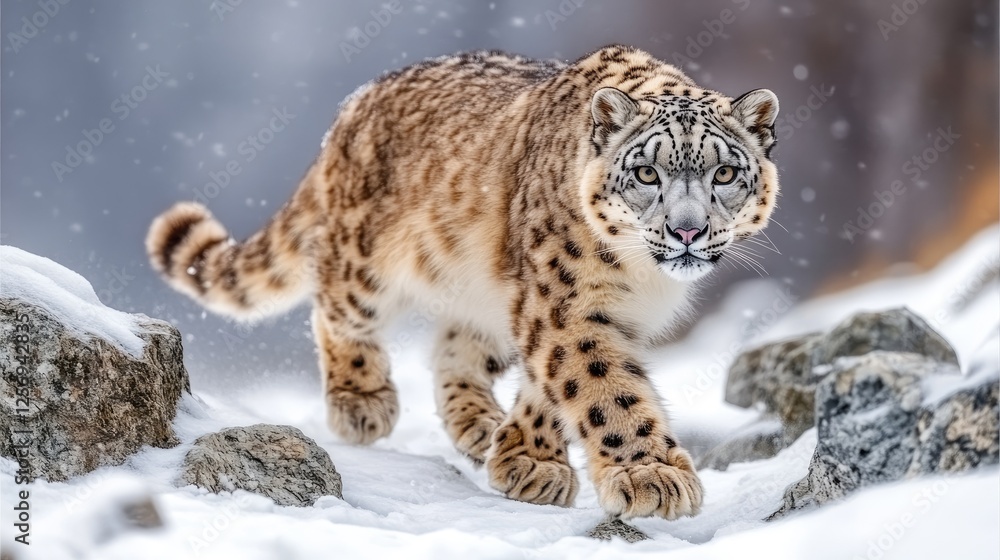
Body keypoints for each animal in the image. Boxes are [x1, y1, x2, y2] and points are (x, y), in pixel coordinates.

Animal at [146, 45, 780, 521]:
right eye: (647, 172)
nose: (687, 230)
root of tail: (351, 109)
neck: (642, 279)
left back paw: (479, 425)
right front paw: (652, 475)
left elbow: (555, 384)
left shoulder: (579, 314)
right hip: (366, 262)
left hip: (482, 290)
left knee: (454, 346)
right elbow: (604, 388)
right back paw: (362, 401)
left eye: (725, 172)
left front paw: (527, 460)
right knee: (335, 308)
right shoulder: (567, 306)